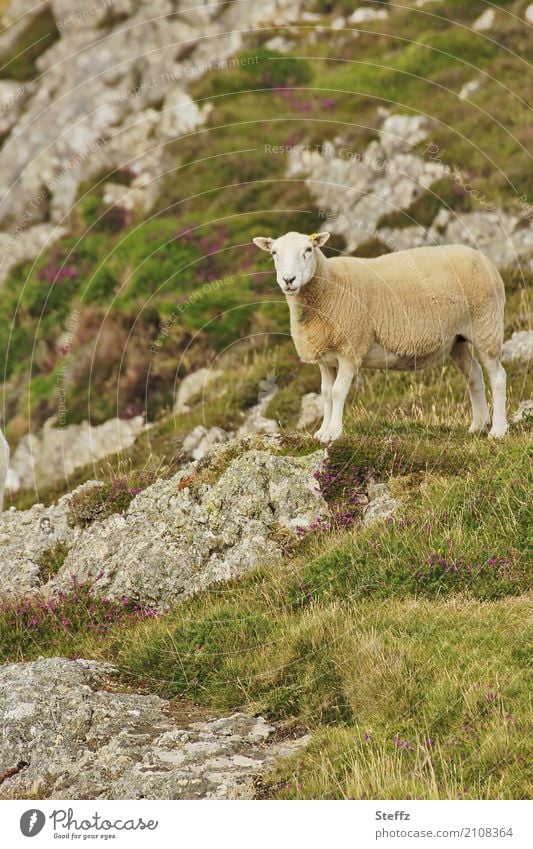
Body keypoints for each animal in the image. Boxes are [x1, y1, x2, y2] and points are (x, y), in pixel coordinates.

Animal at [252, 232, 508, 444]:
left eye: (308, 250)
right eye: (274, 253)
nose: (289, 280)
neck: (330, 286)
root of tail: (484, 259)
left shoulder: (351, 348)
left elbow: (337, 392)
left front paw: (334, 432)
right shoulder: (325, 357)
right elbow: (325, 394)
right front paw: (322, 431)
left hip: (486, 325)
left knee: (497, 376)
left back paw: (498, 430)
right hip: (458, 338)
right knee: (474, 375)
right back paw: (477, 426)